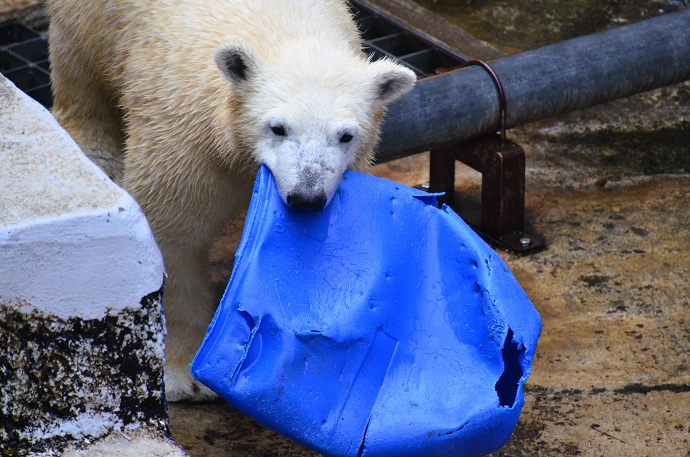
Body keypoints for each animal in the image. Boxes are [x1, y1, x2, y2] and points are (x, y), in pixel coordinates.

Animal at [48, 0, 416, 400]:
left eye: (346, 135)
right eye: (278, 128)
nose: (306, 197)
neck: (286, 28)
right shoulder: (185, 142)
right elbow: (172, 236)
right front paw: (183, 373)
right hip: (92, 24)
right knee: (82, 84)